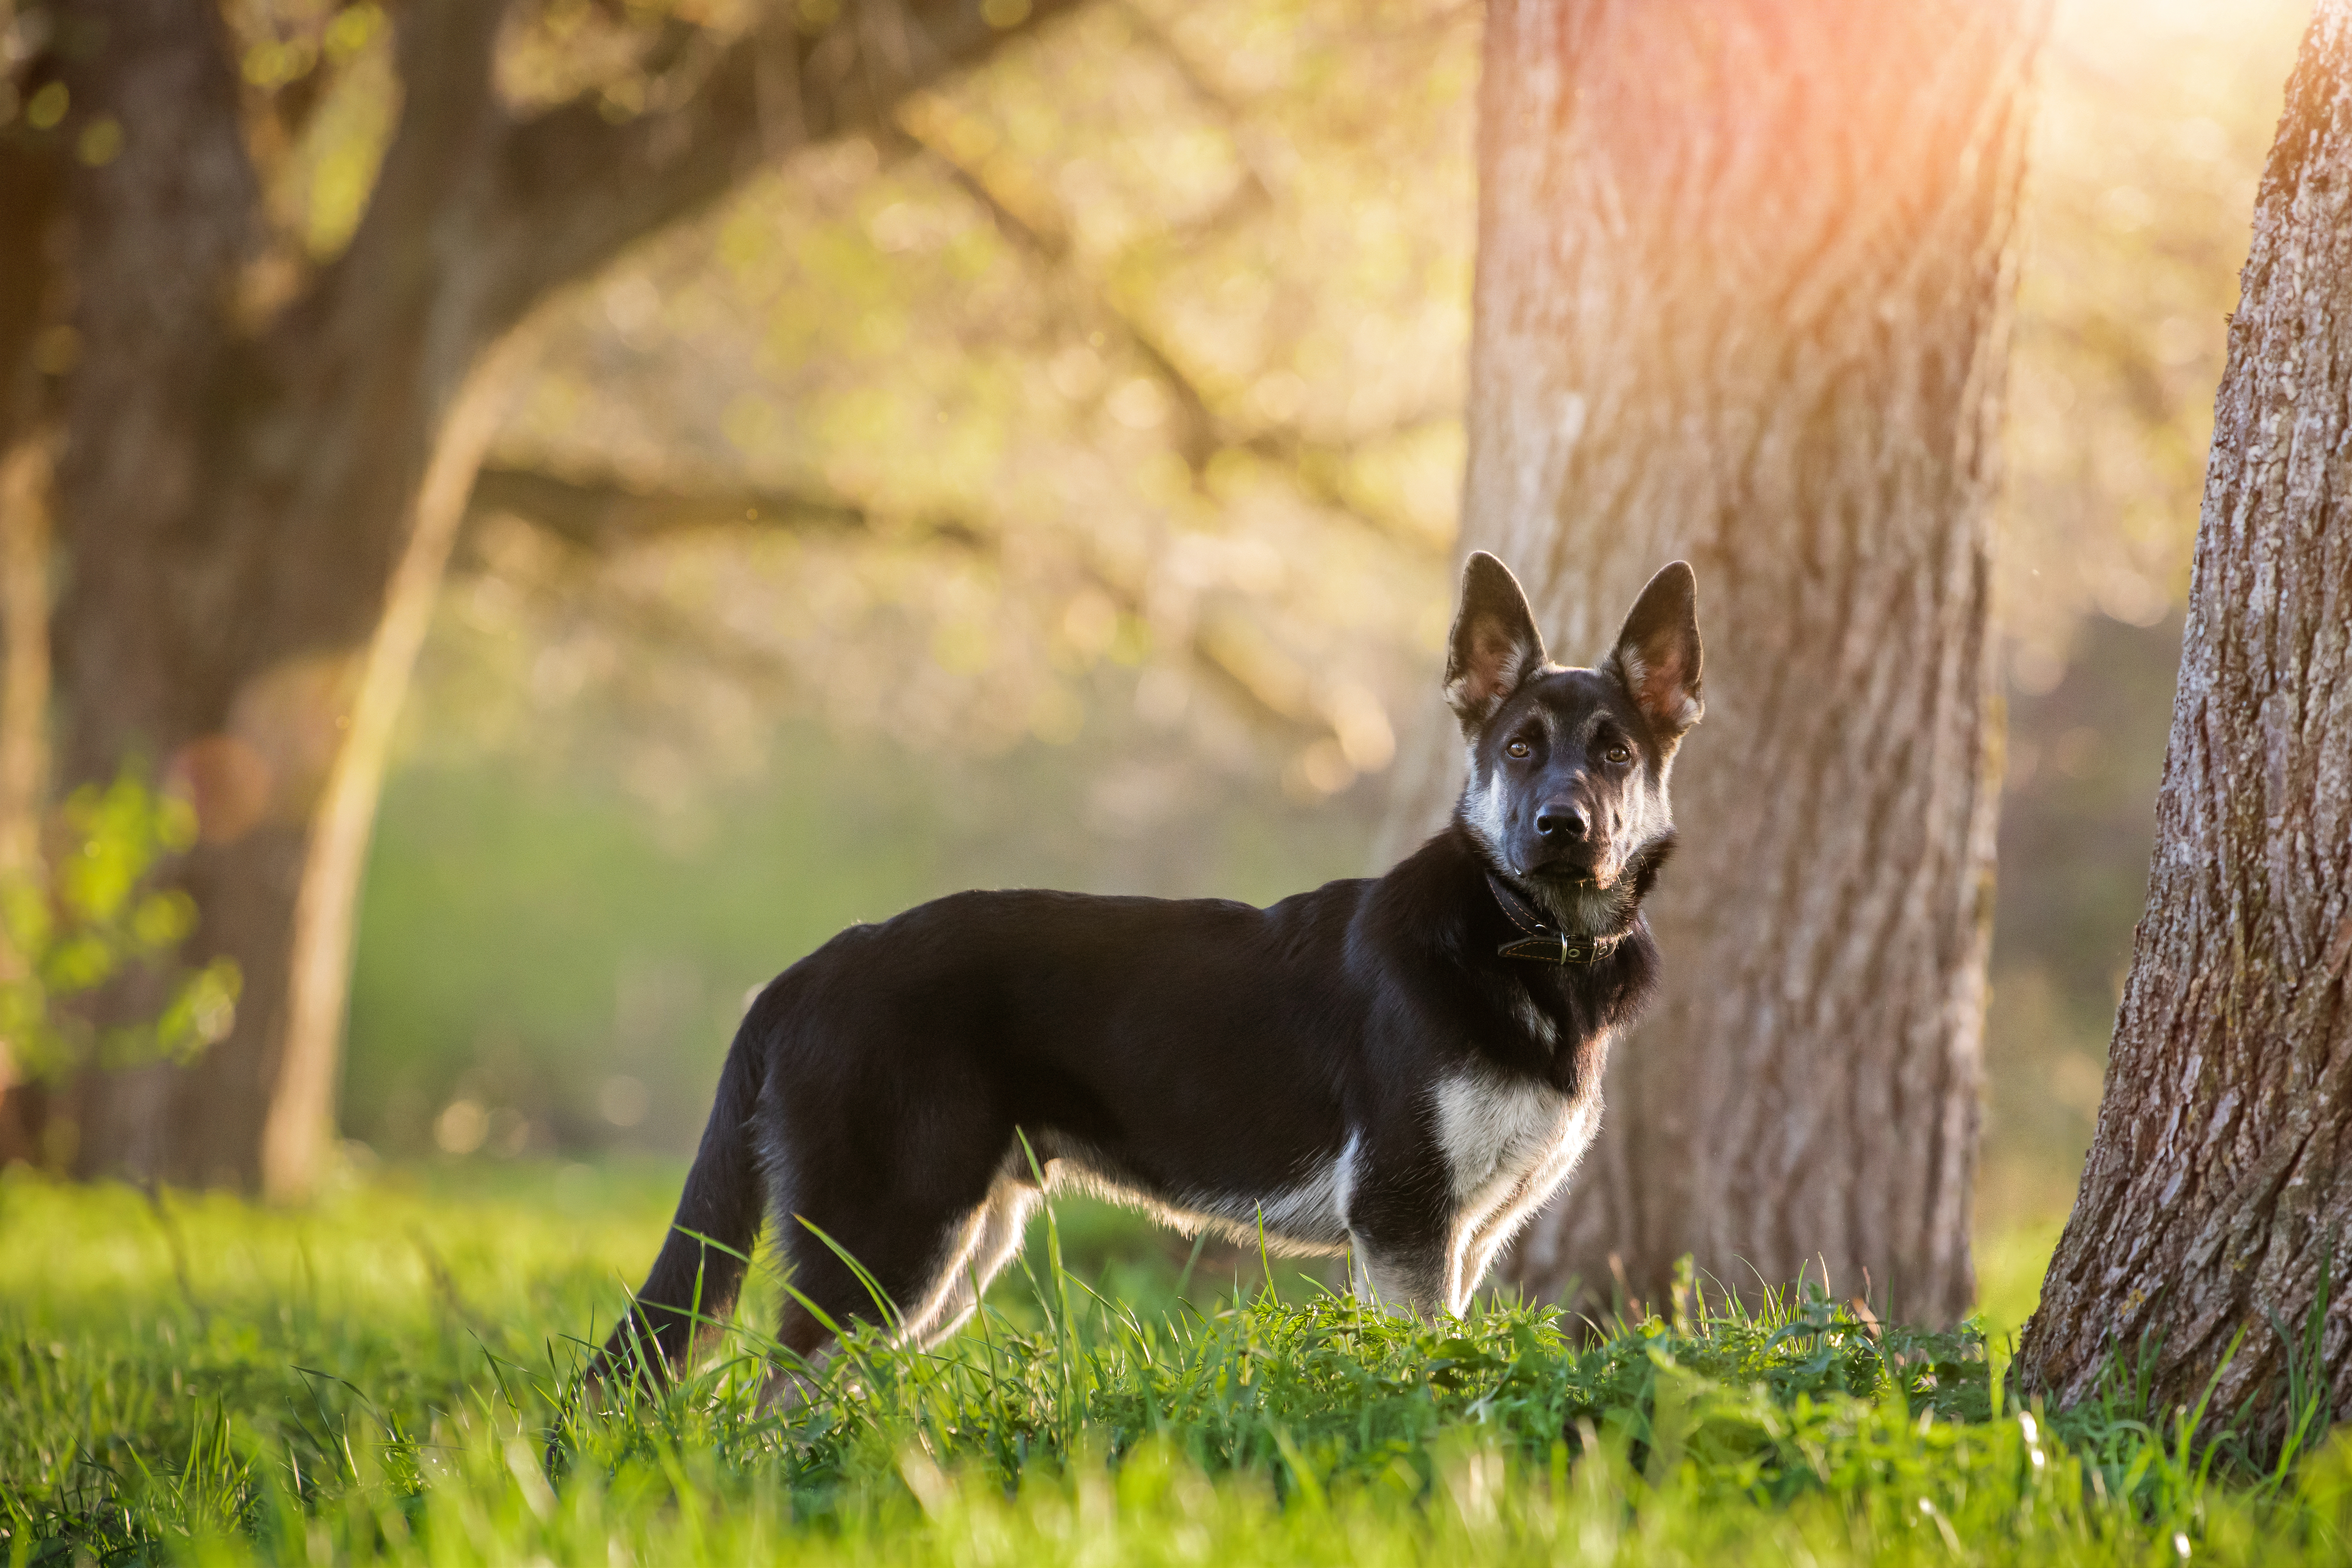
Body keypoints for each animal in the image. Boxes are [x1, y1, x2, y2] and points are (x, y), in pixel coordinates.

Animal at [585, 550, 1693, 1382]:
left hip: (956, 1251)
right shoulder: (1405, 1222)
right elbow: (1415, 1364)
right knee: (772, 1391)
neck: (1523, 934)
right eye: (1519, 748)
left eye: (1613, 753)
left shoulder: (1462, 1238)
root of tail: (806, 971)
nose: (1562, 828)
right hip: (891, 1236)